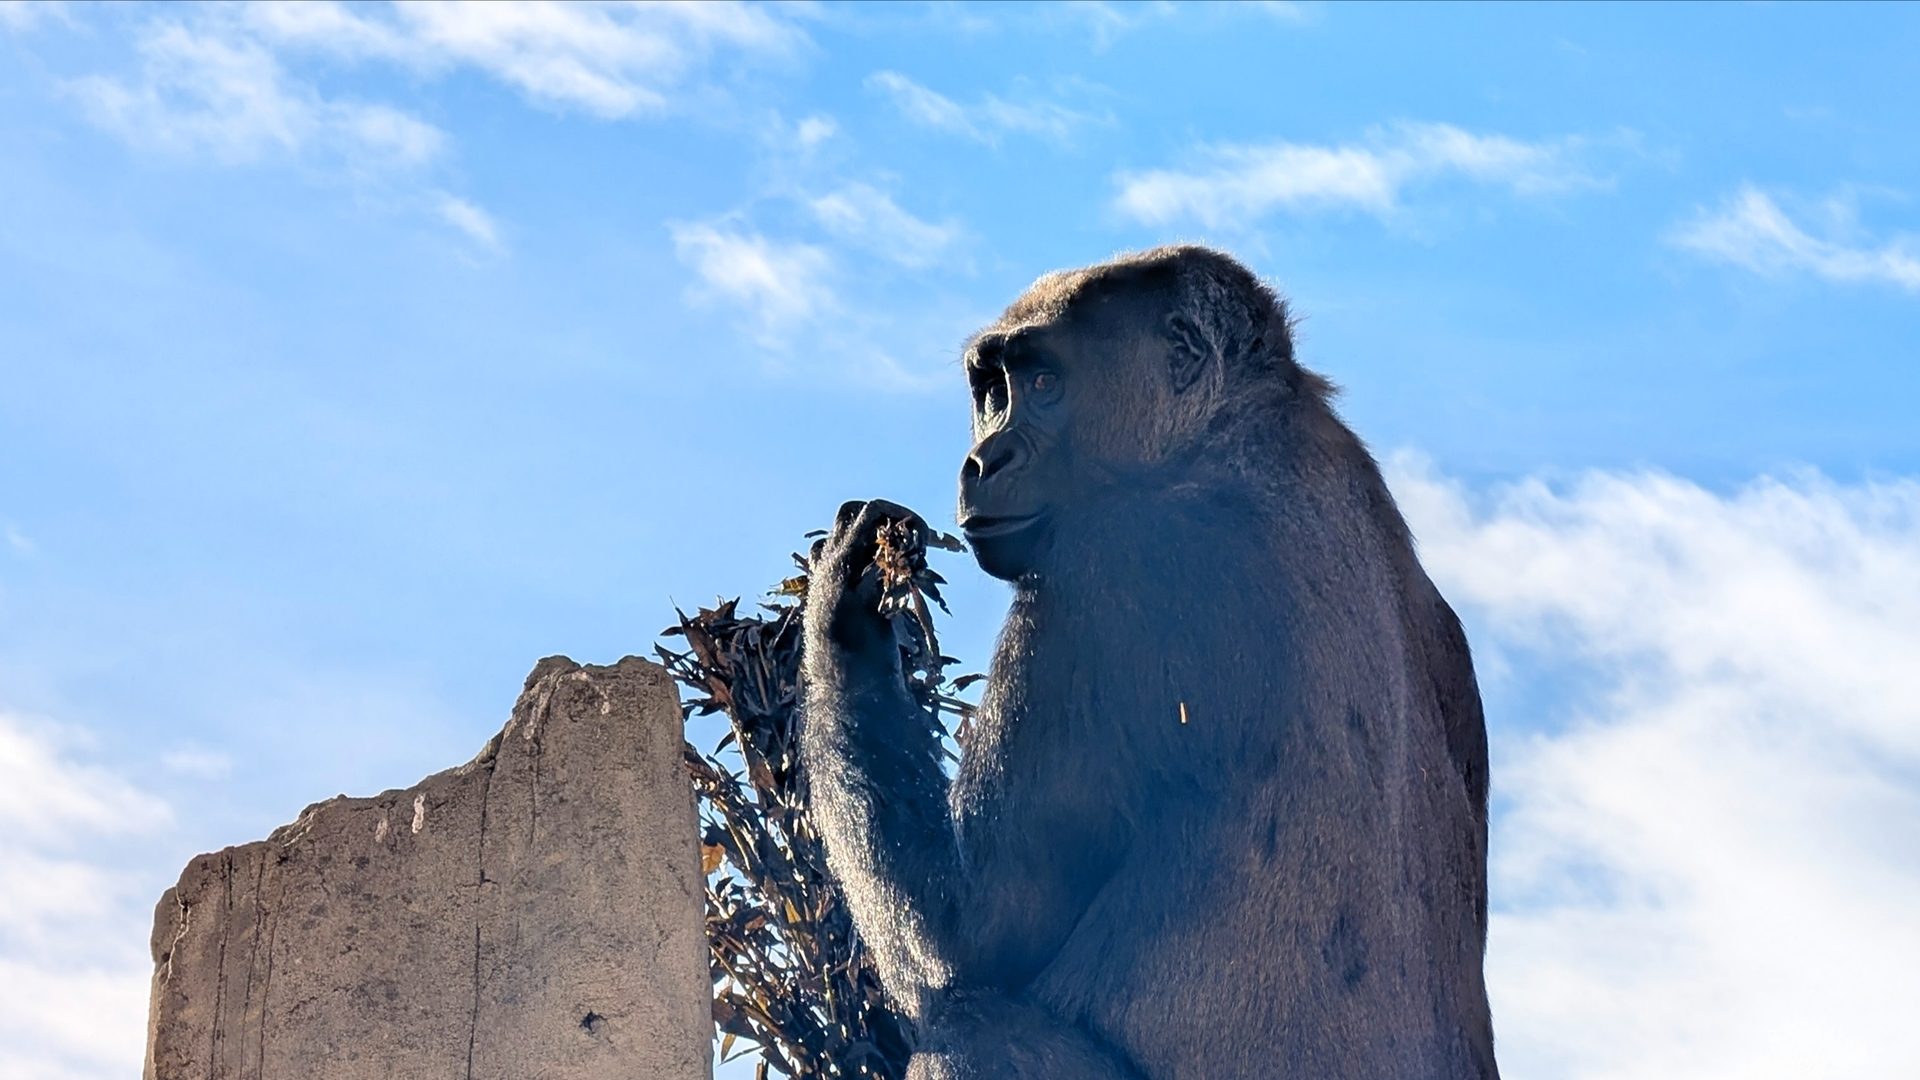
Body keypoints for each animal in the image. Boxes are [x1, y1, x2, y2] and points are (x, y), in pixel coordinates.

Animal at [801, 246, 1497, 1080]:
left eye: (1044, 383)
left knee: (968, 1027)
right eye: (991, 391)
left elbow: (966, 936)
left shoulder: (1113, 561)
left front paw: (842, 604)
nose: (981, 459)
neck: (1240, 426)